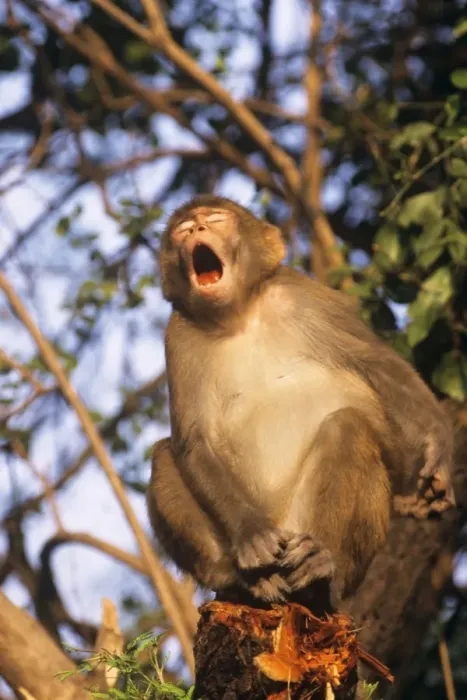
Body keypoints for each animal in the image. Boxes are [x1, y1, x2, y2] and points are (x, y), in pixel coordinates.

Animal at [147, 195, 454, 609]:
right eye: (182, 229)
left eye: (216, 219)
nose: (197, 228)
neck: (238, 316)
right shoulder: (178, 336)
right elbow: (193, 442)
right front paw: (251, 535)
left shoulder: (302, 295)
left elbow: (376, 362)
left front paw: (438, 446)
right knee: (164, 454)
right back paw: (244, 580)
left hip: (315, 535)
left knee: (348, 428)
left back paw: (323, 568)